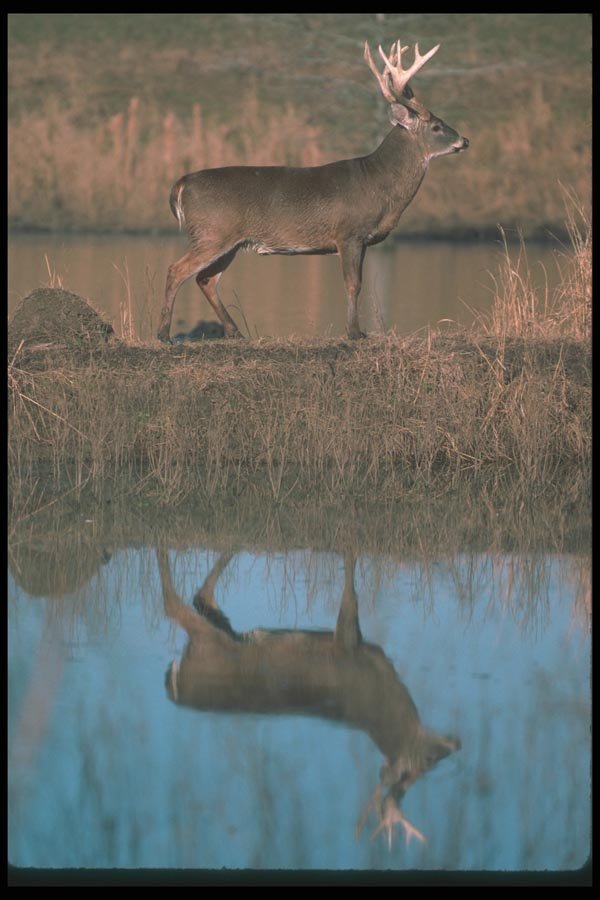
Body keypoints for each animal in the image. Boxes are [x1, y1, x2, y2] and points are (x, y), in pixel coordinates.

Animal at [156, 547, 460, 849]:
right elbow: (350, 591)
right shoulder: (347, 644)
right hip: (209, 647)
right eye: (429, 760)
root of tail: (176, 688)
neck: (380, 693)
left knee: (201, 597)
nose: (456, 744)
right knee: (173, 606)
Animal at [157, 39, 468, 343]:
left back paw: (235, 333)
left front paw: (356, 330)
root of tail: (182, 183)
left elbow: (357, 283)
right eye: (437, 126)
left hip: (228, 241)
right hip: (212, 233)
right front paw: (355, 332)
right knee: (176, 270)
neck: (377, 182)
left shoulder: (362, 239)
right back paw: (164, 335)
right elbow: (353, 284)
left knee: (205, 279)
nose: (464, 141)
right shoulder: (349, 233)